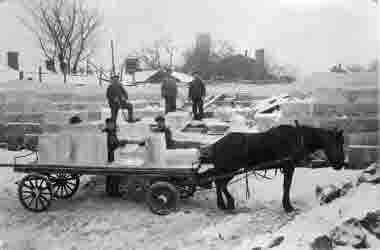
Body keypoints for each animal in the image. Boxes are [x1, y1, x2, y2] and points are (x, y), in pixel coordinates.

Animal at [200, 124, 346, 212]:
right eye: (337, 143)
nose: (341, 163)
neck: (299, 139)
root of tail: (215, 145)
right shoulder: (288, 167)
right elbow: (287, 186)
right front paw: (288, 207)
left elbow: (286, 186)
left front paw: (287, 205)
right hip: (229, 170)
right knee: (219, 182)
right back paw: (226, 203)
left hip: (227, 170)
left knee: (218, 182)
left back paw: (224, 204)